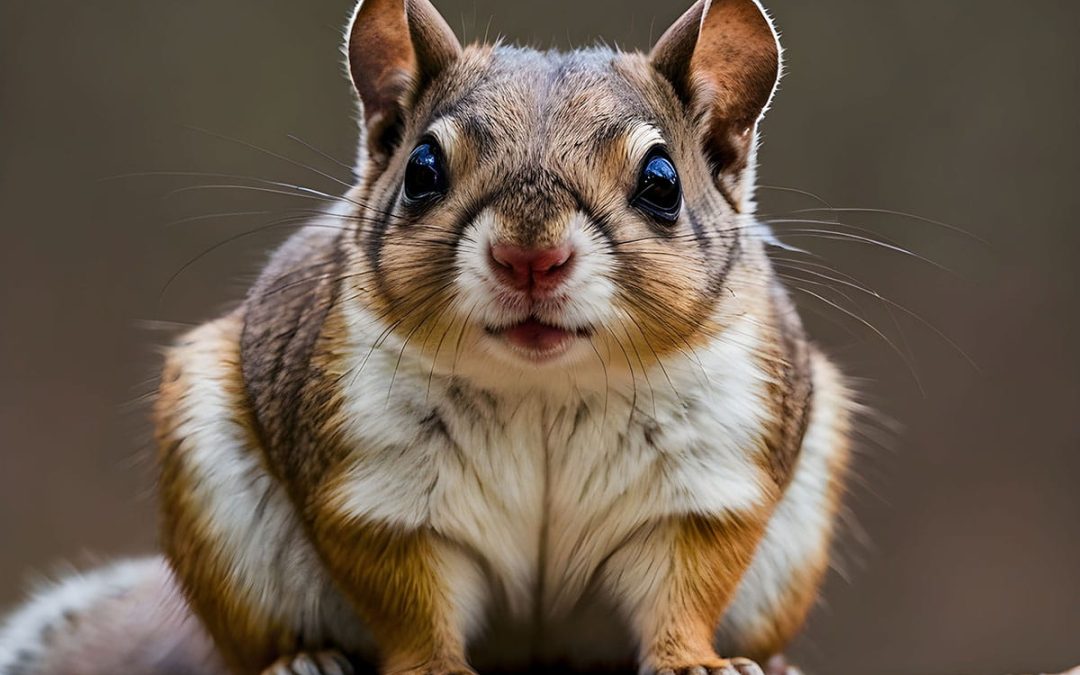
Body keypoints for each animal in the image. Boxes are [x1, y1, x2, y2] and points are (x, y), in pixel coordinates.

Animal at [0, 1, 855, 674]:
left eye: (662, 182)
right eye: (421, 170)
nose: (530, 258)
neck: (544, 386)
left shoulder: (706, 480)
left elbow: (684, 589)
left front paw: (696, 662)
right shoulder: (377, 488)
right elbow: (409, 599)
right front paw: (433, 663)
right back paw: (304, 658)